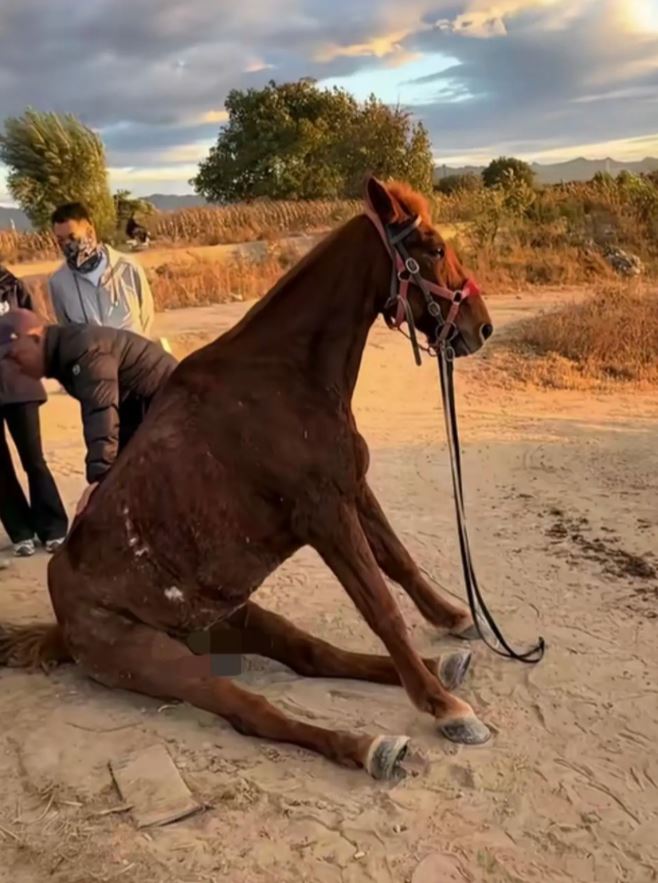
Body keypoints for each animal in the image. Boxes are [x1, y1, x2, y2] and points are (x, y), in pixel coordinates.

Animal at [0, 176, 494, 780]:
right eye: (435, 249)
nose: (480, 327)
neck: (285, 376)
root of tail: (61, 624)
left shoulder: (352, 489)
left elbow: (398, 562)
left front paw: (454, 620)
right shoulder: (325, 516)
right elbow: (381, 607)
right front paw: (444, 710)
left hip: (234, 620)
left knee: (313, 655)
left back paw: (440, 668)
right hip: (157, 662)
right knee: (252, 712)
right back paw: (372, 746)